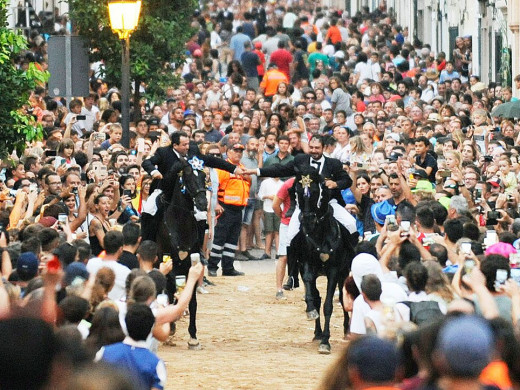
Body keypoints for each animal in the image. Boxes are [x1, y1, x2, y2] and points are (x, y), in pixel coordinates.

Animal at [156, 157, 209, 348]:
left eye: (203, 176)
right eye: (187, 176)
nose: (202, 203)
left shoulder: (189, 265)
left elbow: (192, 301)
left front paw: (193, 336)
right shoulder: (169, 263)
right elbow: (171, 290)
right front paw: (170, 328)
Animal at [290, 166, 356, 354]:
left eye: (315, 191)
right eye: (297, 191)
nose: (307, 220)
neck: (319, 234)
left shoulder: (333, 271)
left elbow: (328, 305)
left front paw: (326, 342)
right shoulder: (306, 265)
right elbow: (312, 294)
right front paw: (311, 312)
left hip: (343, 273)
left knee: (342, 297)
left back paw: (346, 330)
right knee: (317, 296)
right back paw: (317, 333)